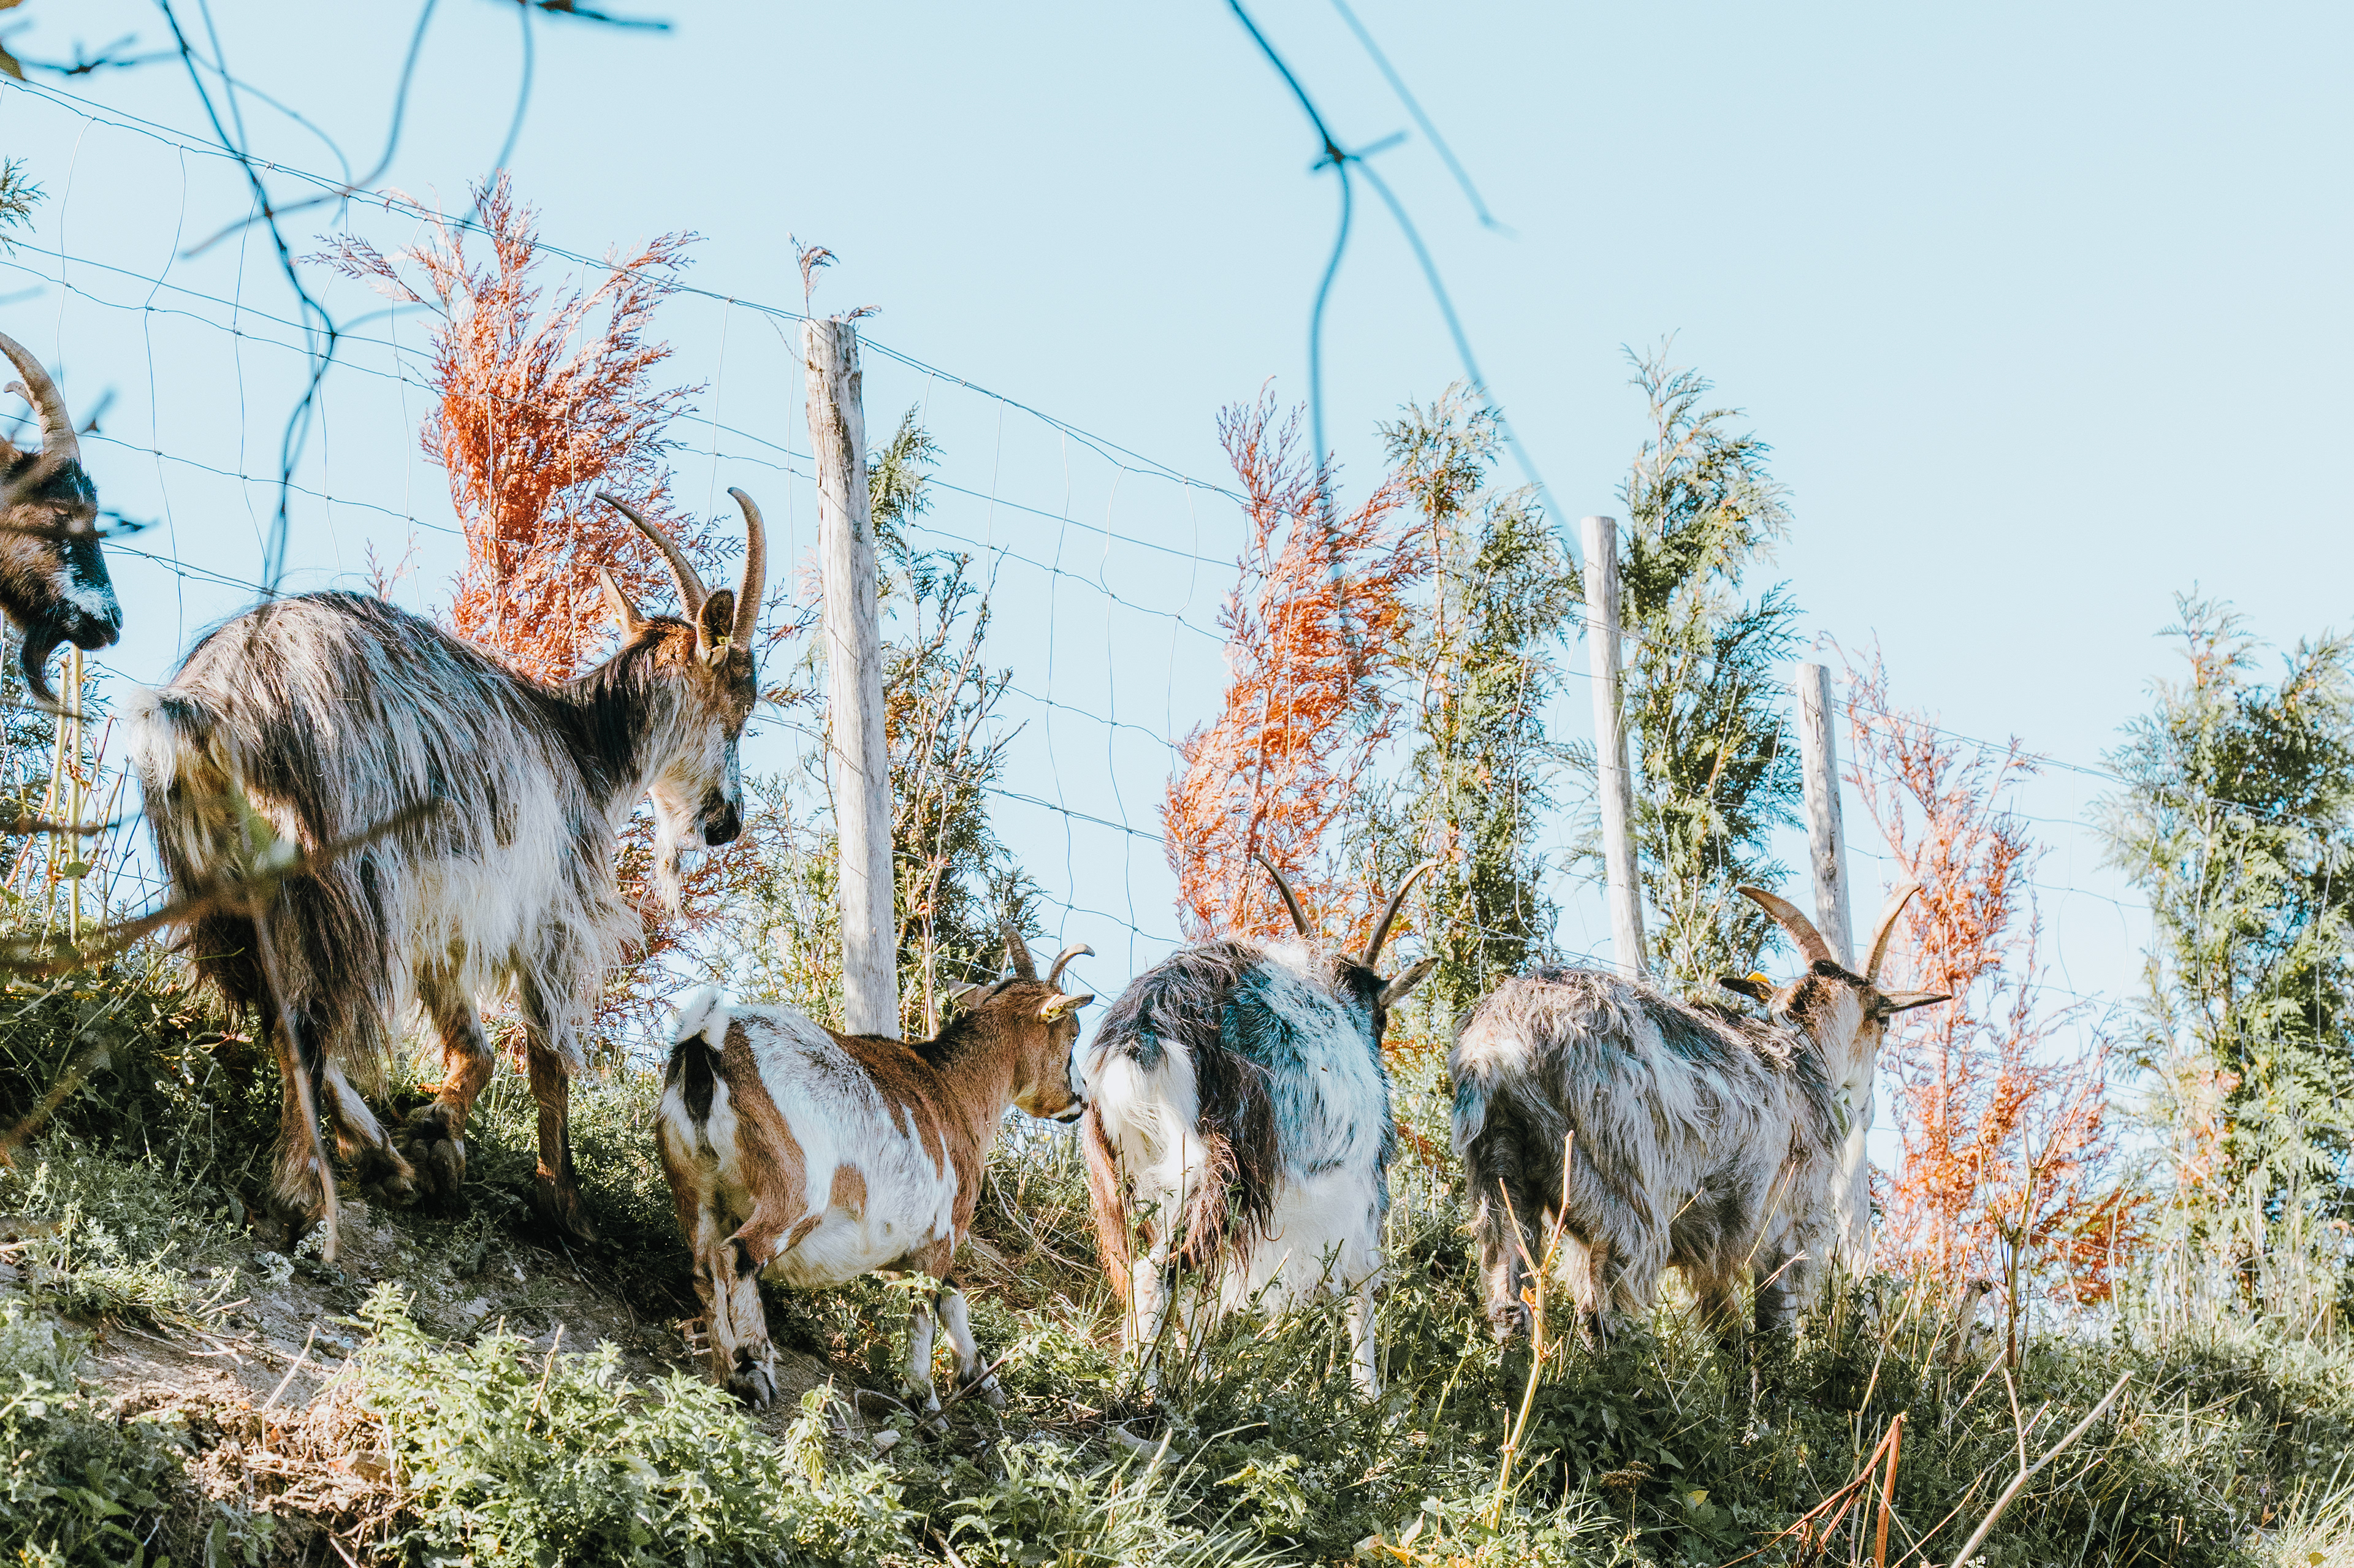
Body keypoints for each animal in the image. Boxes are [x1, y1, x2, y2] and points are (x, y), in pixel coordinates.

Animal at [127, 490, 765, 1259]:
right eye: (741, 699)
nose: (728, 821)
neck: (583, 750)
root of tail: (214, 703)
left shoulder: (443, 919)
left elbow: (477, 1049)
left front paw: (431, 1144)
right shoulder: (551, 910)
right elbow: (545, 1055)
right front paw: (563, 1204)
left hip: (224, 893)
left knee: (274, 1009)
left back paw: (375, 1156)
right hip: (345, 872)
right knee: (304, 1022)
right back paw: (299, 1193)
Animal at [655, 932, 1094, 1409]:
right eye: (1073, 1033)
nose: (1082, 1098)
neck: (955, 1091)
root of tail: (708, 1041)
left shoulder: (923, 1242)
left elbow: (952, 1296)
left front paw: (982, 1383)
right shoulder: (943, 1232)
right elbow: (925, 1310)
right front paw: (926, 1400)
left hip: (693, 1187)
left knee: (704, 1268)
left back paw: (725, 1376)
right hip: (796, 1193)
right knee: (736, 1257)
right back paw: (754, 1372)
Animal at [1080, 857, 1436, 1395]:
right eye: (1384, 1019)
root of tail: (1143, 1030)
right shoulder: (1364, 1187)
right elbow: (1361, 1287)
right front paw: (1367, 1394)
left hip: (1125, 1177)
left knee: (1156, 1273)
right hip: (1220, 1168)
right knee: (1160, 1271)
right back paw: (1145, 1392)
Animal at [1449, 884, 1948, 1348]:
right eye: (1882, 1020)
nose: (1868, 1108)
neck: (1805, 1053)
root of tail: (1499, 1045)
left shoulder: (1711, 1250)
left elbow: (1728, 1334)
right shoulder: (1787, 1226)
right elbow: (1773, 1328)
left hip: (1502, 1170)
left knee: (1509, 1298)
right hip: (1622, 1190)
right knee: (1600, 1310)